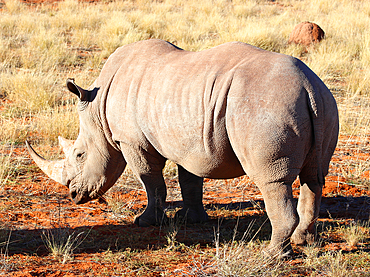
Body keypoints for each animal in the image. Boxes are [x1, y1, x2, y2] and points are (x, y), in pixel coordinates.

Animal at [27, 38, 340, 254]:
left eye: (80, 154)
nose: (73, 195)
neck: (98, 109)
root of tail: (307, 85)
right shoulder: (189, 141)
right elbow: (189, 180)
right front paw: (191, 219)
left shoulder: (131, 141)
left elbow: (151, 181)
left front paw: (145, 222)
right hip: (323, 103)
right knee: (315, 176)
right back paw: (304, 242)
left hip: (266, 105)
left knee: (273, 181)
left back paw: (273, 254)